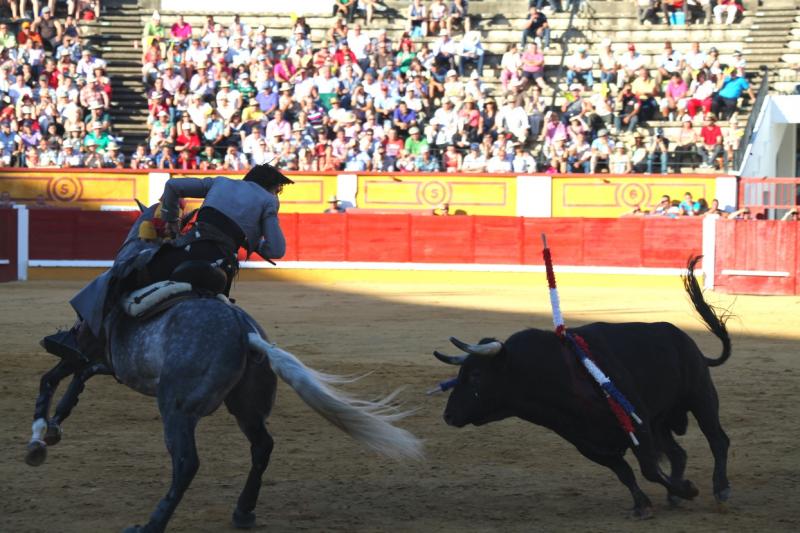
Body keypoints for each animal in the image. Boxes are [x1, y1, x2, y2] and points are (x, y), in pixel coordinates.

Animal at [432, 258, 732, 516]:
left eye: (475, 375)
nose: (448, 415)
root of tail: (686, 341)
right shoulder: (585, 441)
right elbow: (625, 472)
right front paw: (643, 504)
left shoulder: (637, 423)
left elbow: (648, 468)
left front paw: (689, 490)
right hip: (661, 421)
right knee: (678, 453)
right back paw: (675, 496)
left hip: (701, 397)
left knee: (717, 440)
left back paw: (720, 491)